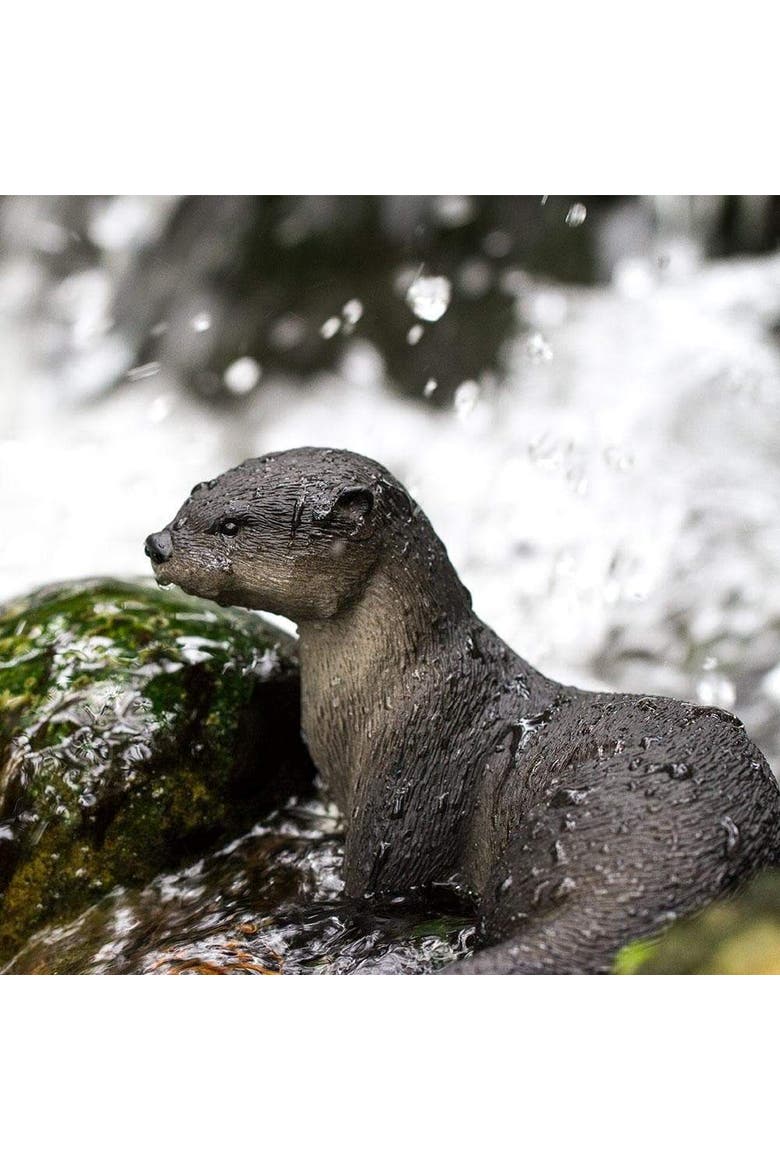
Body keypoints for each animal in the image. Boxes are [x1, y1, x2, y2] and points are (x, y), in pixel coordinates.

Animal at [145, 447, 780, 973]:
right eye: (192, 498)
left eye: (231, 525)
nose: (157, 543)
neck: (399, 688)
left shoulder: (410, 774)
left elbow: (374, 884)